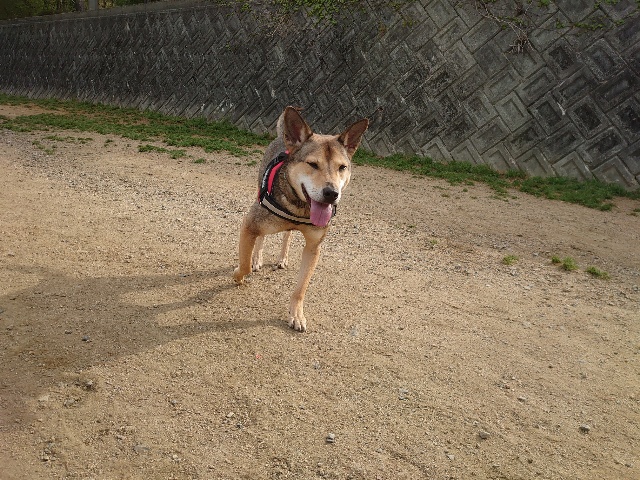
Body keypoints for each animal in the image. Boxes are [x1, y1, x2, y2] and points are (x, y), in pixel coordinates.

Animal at [233, 106, 368, 331]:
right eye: (312, 164)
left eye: (342, 167)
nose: (331, 193)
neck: (300, 207)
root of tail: (282, 137)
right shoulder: (249, 224)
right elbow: (244, 264)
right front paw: (238, 275)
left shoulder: (314, 247)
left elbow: (301, 288)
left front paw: (296, 315)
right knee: (262, 238)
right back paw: (257, 258)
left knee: (287, 234)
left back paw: (282, 258)